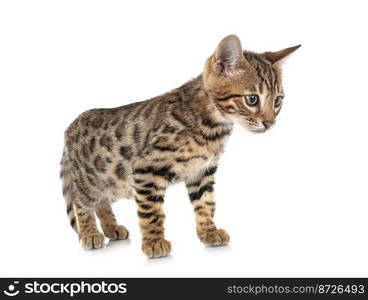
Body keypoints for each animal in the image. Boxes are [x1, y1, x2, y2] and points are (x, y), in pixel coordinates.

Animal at [60, 34, 300, 256]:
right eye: (252, 99)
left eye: (278, 101)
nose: (269, 123)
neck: (211, 126)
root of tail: (71, 125)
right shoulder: (146, 171)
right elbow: (151, 212)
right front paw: (154, 242)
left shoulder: (202, 172)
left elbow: (206, 204)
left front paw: (208, 232)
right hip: (93, 179)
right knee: (81, 201)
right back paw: (89, 233)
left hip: (113, 182)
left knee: (102, 202)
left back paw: (111, 227)